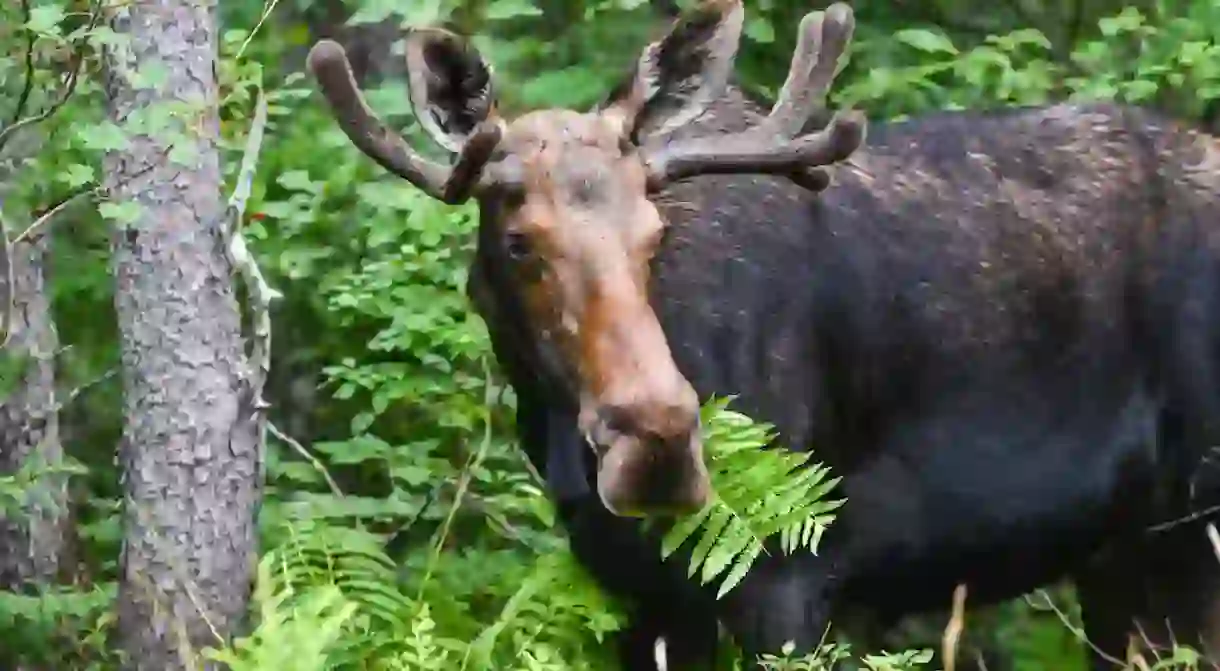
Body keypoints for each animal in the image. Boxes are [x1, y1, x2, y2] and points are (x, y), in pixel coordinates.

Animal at [309, 1, 1220, 668]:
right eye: (518, 241)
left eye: (654, 232)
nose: (661, 439)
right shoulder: (633, 589)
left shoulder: (790, 575)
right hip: (1125, 556)